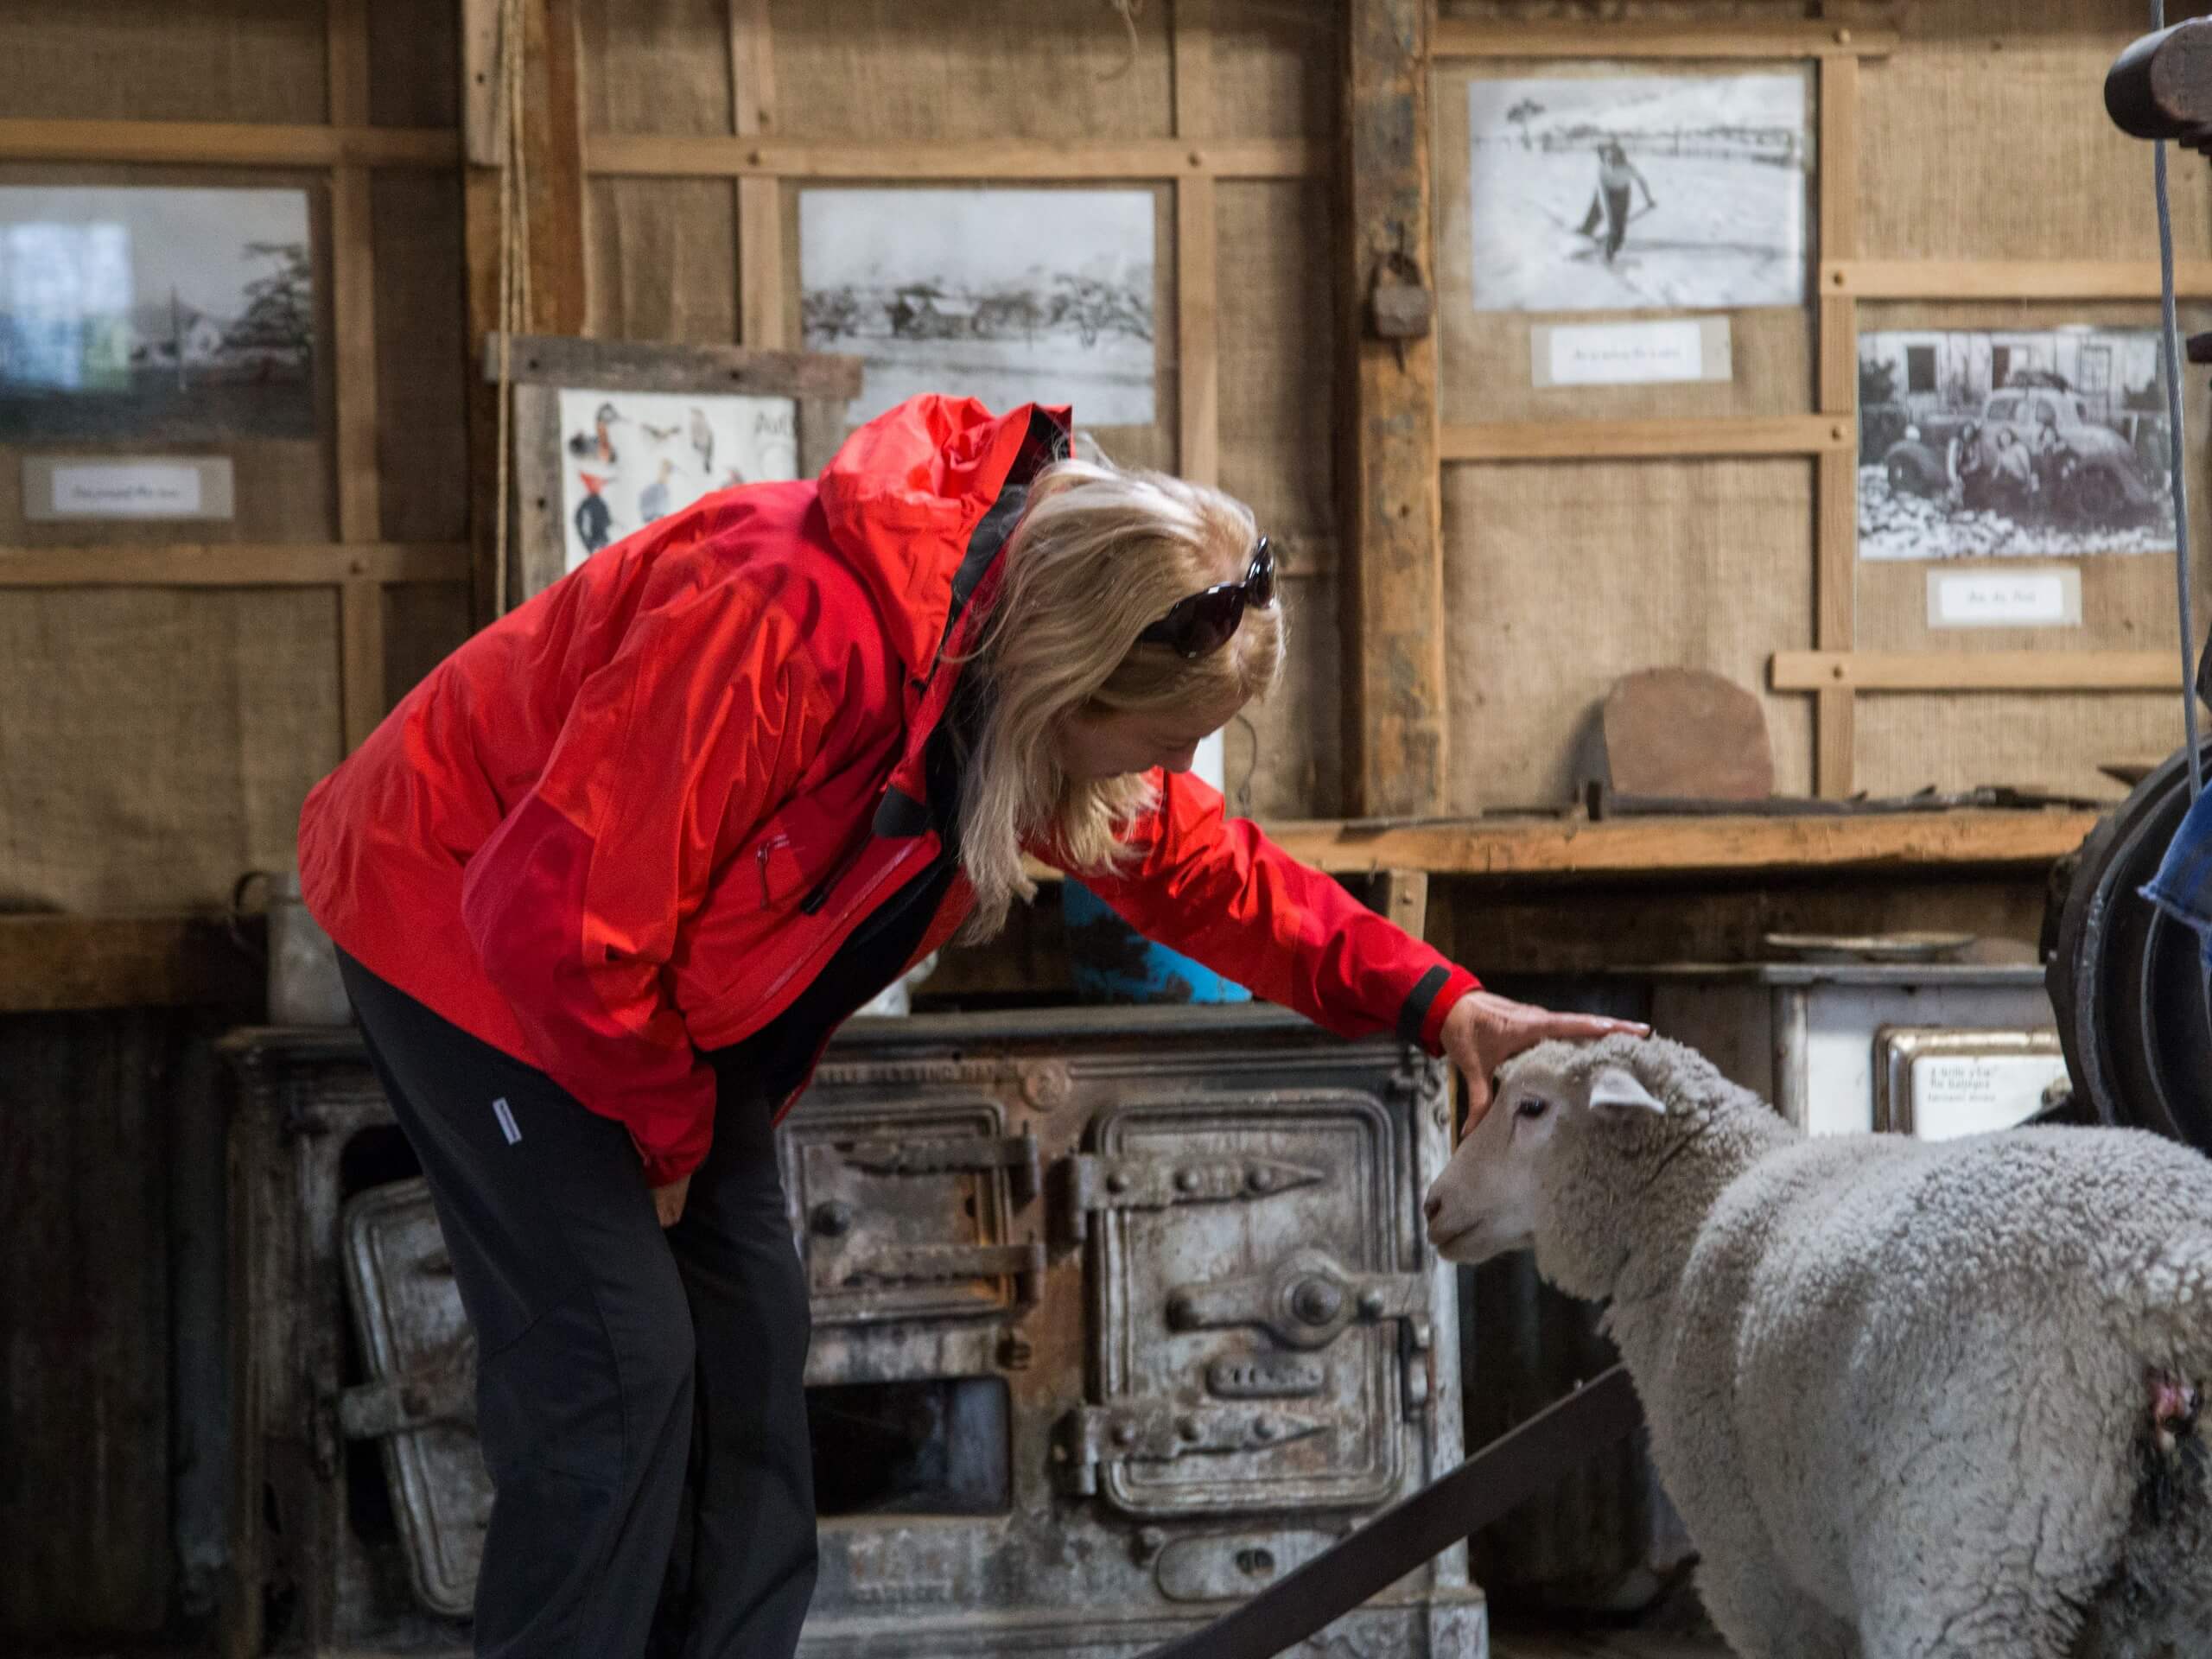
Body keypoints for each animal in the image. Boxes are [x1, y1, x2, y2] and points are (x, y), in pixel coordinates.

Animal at [1424, 1035, 2212, 1654]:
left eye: (1531, 1108)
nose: (1432, 1205)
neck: (1701, 1204)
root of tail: (2158, 1273)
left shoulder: (1764, 1579)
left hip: (1965, 1557)